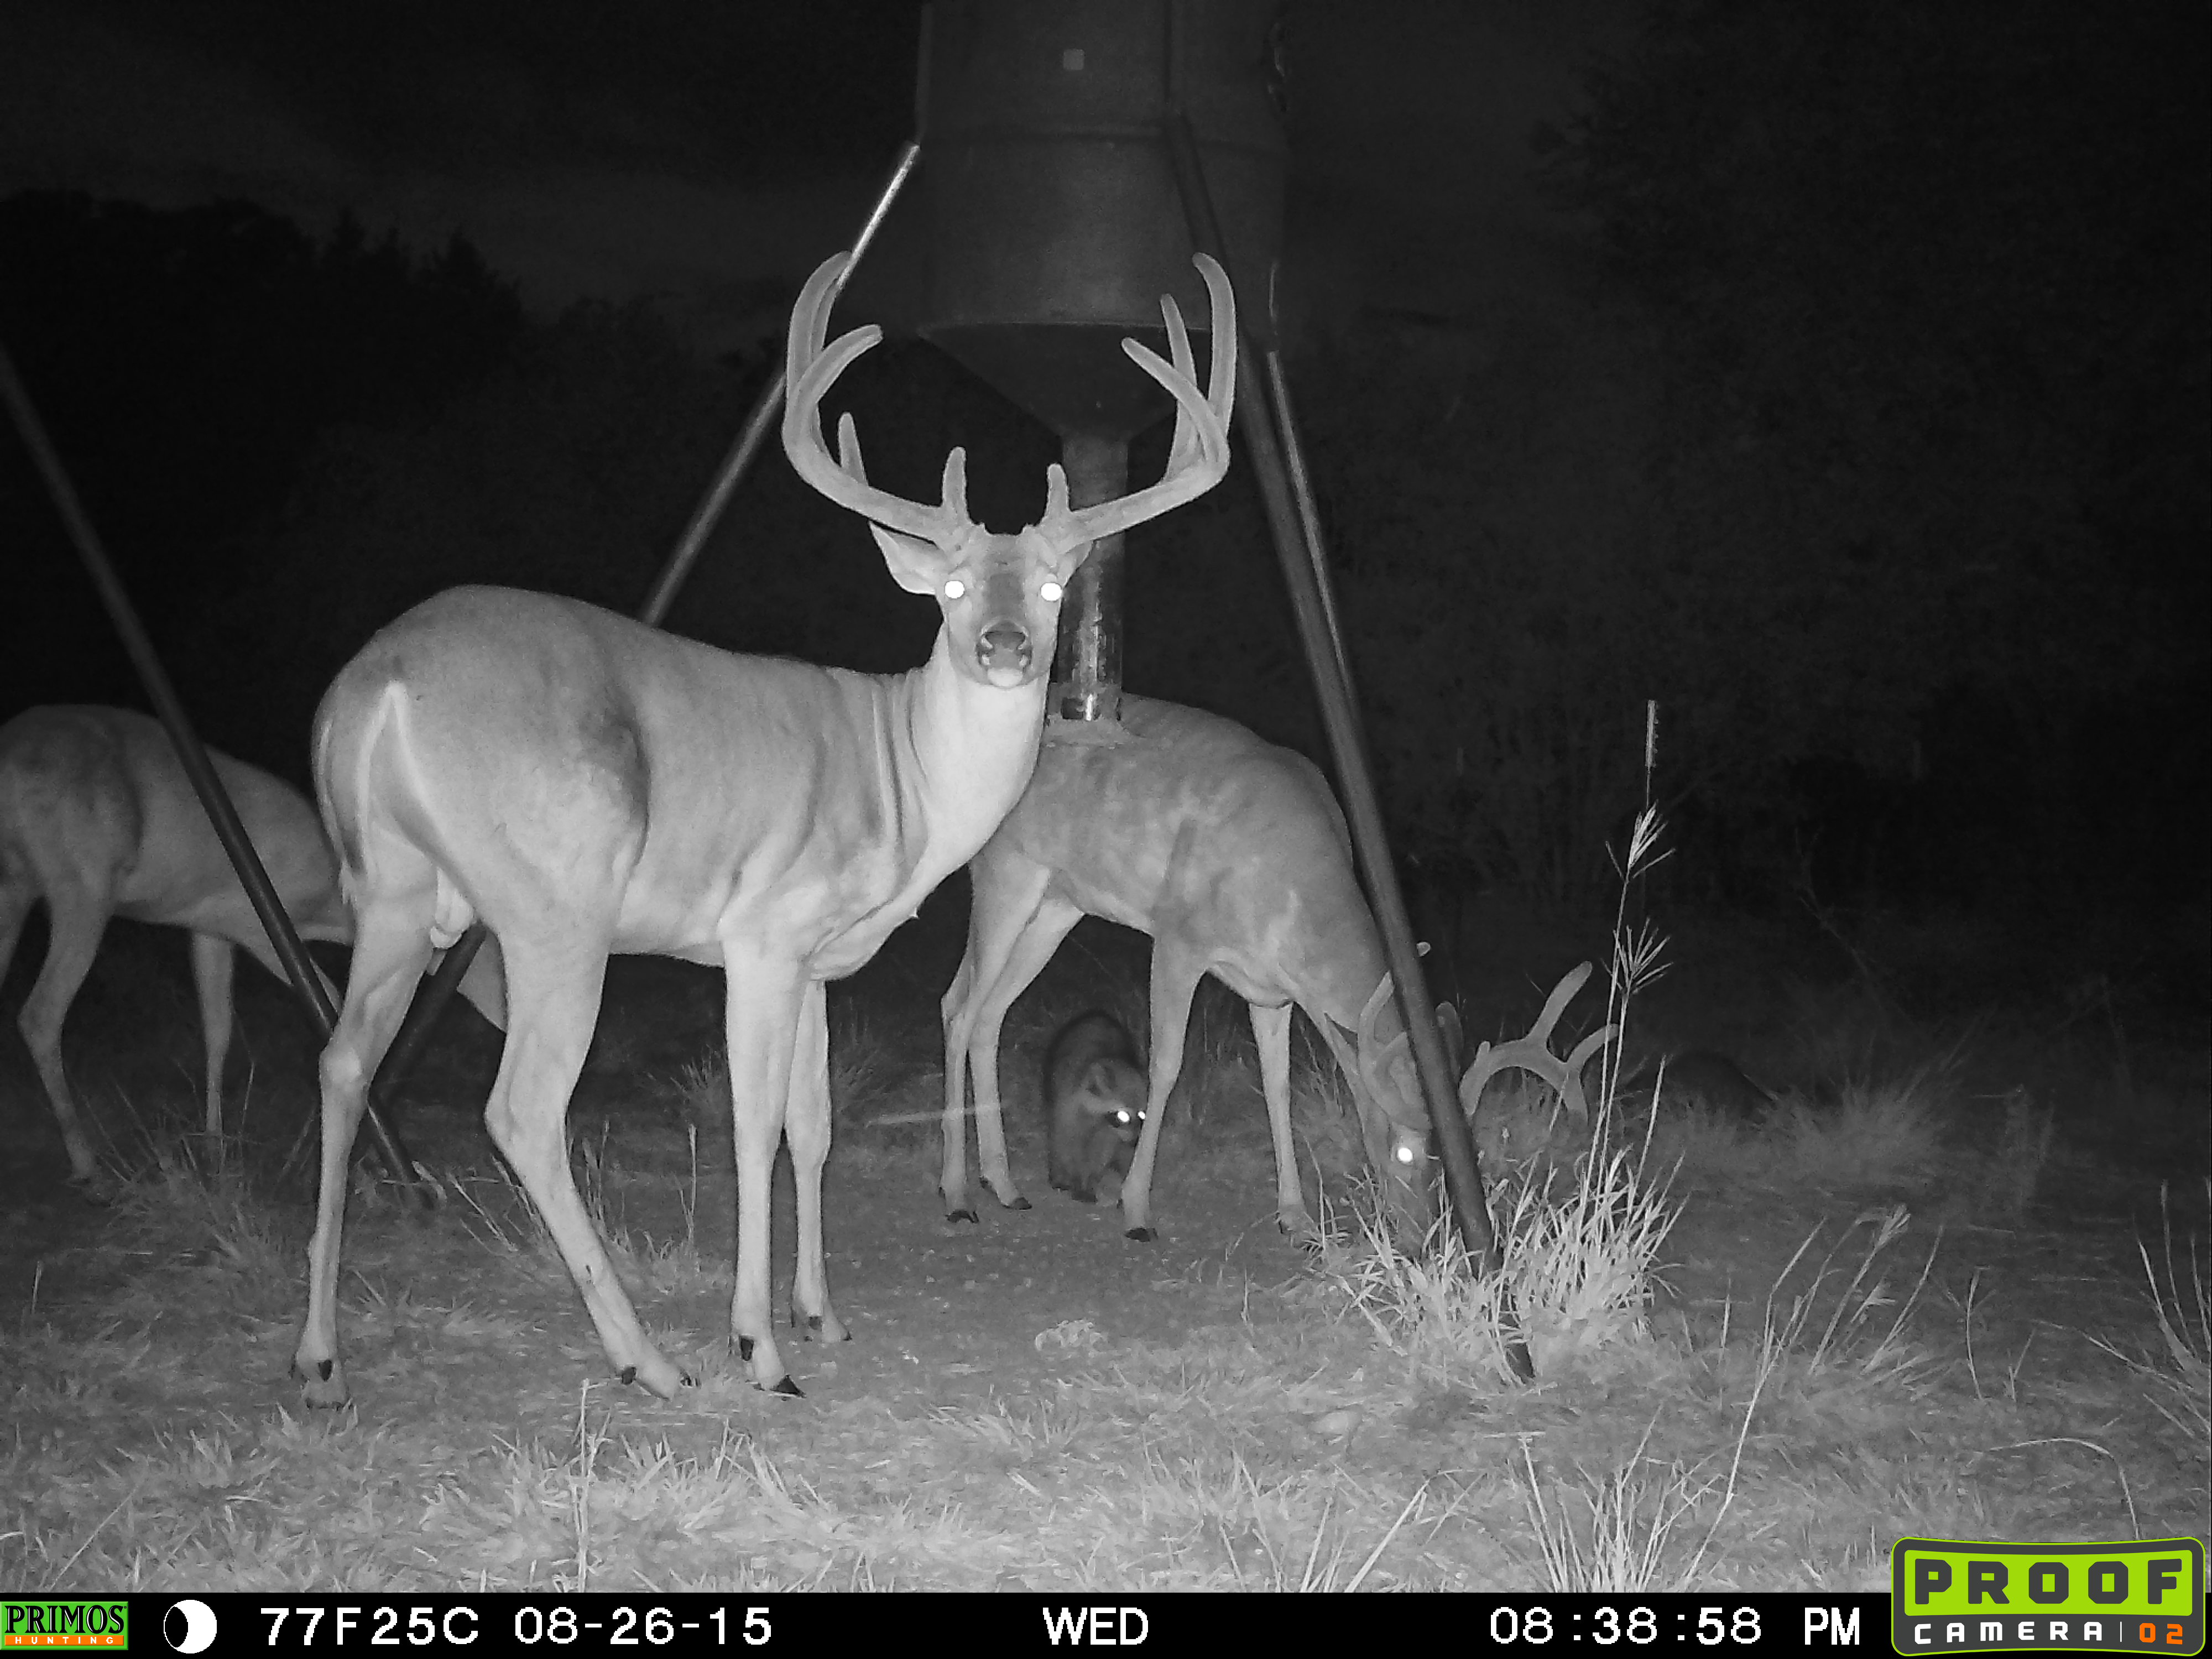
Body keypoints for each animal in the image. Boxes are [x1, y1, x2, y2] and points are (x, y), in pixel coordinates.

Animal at [0, 704, 357, 1182]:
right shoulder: (258, 922)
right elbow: (332, 998)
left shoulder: (209, 928)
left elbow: (217, 1029)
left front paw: (214, 1146)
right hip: (83, 885)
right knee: (39, 1015)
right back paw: (85, 1161)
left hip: (14, 889)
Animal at [290, 249, 1237, 1403]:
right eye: (952, 585)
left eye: (1057, 585)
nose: (1008, 646)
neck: (905, 775)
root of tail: (377, 684)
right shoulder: (762, 933)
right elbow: (750, 1128)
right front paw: (761, 1346)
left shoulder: (820, 961)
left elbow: (812, 1128)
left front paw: (821, 1314)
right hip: (554, 910)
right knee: (521, 1106)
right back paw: (648, 1359)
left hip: (390, 895)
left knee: (342, 1064)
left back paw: (320, 1356)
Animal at [939, 695, 1444, 1248]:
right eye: (1403, 1151)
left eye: (1443, 1155)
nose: (1421, 1238)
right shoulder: (1179, 936)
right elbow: (1165, 1066)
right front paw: (1137, 1207)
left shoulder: (1272, 989)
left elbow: (1277, 1083)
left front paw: (1295, 1216)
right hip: (1005, 871)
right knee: (960, 1010)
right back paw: (958, 1195)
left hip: (1056, 904)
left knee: (984, 1012)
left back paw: (1003, 1184)